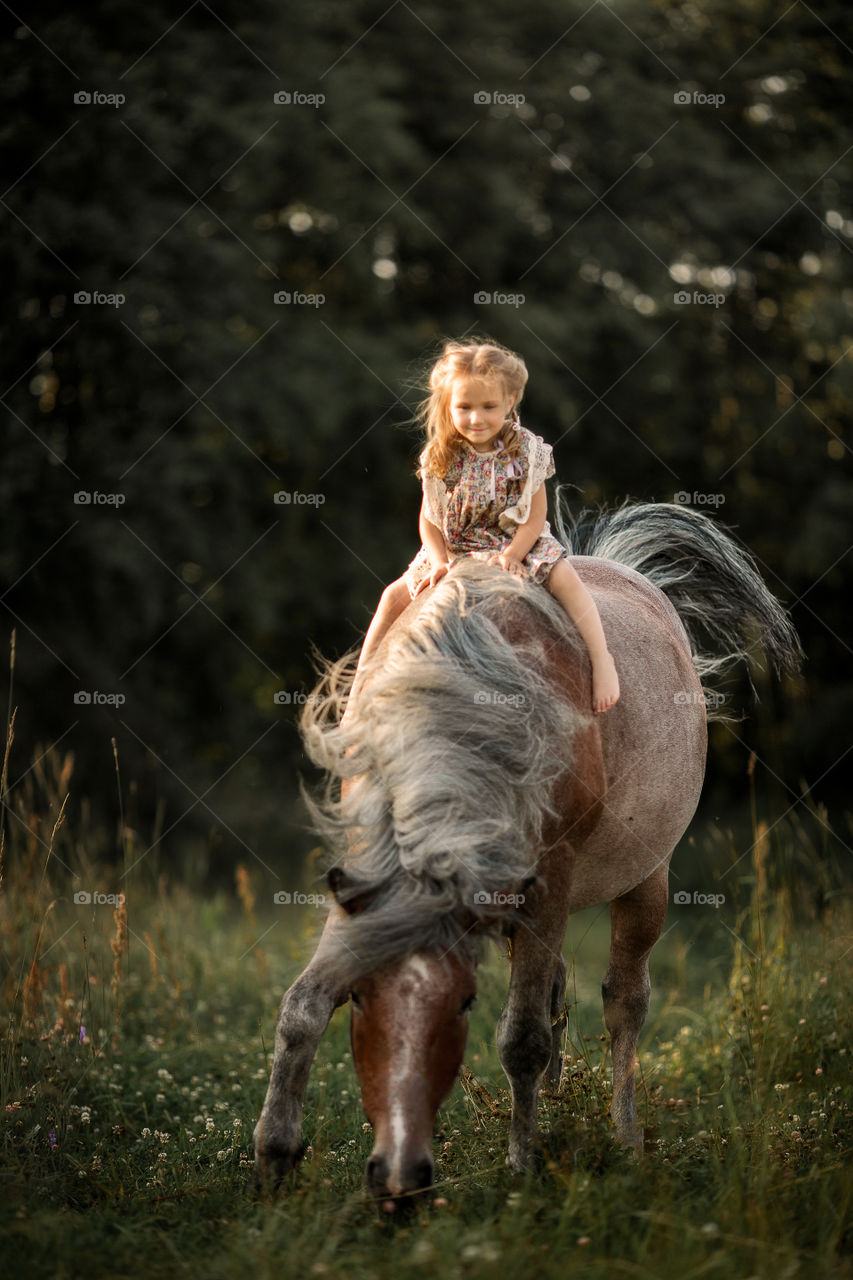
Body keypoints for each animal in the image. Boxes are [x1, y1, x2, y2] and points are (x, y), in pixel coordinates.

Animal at [253, 501, 801, 1207]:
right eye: (365, 1006)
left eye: (460, 1008)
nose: (397, 1181)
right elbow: (303, 1006)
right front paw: (274, 1156)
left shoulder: (550, 883)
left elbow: (522, 1039)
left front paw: (522, 1168)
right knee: (561, 990)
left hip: (644, 883)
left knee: (625, 1002)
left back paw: (625, 1139)